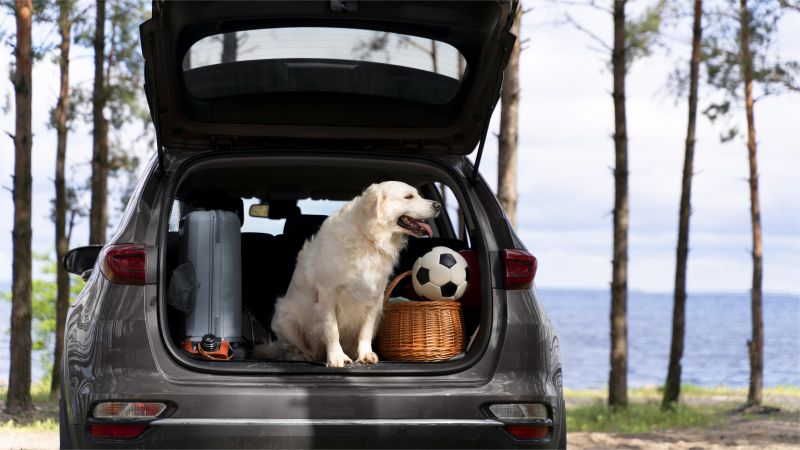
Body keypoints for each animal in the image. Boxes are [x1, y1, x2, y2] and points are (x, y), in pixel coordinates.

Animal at [256, 181, 440, 368]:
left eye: (418, 194)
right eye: (408, 197)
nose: (438, 205)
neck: (369, 237)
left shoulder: (374, 296)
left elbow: (365, 331)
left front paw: (365, 354)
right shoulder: (327, 293)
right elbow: (332, 330)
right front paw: (336, 357)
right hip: (285, 318)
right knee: (295, 349)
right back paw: (303, 356)